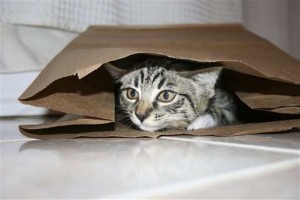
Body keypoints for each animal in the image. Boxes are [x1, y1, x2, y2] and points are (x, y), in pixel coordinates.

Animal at [105, 57, 237, 131]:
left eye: (166, 96)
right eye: (132, 93)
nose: (140, 115)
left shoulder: (228, 101)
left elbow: (225, 112)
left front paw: (197, 122)